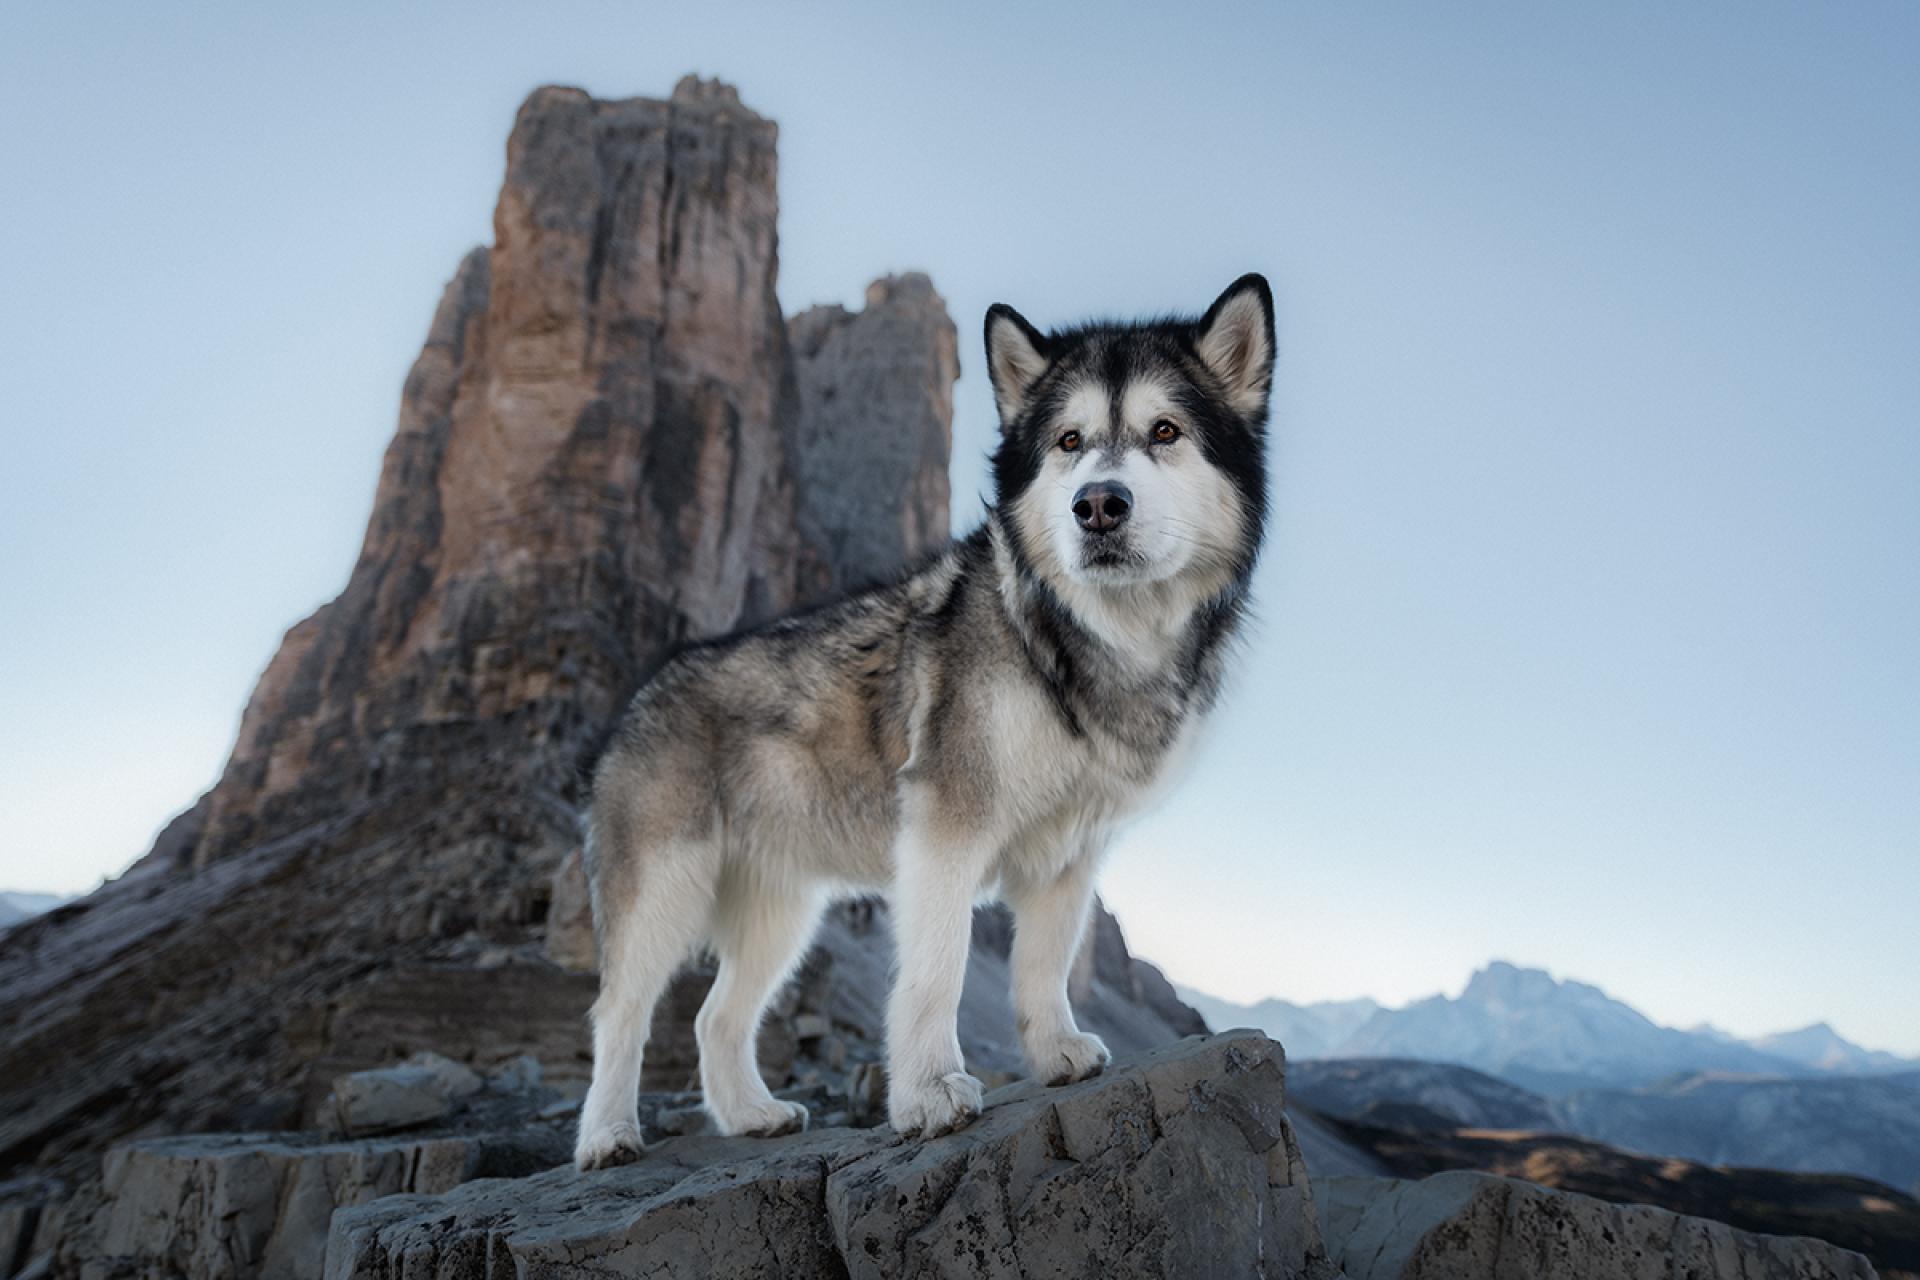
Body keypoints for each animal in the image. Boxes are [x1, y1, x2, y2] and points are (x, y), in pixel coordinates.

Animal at [568, 272, 1274, 1174]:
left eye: (1165, 432)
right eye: (1069, 441)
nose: (1099, 505)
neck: (1073, 640)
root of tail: (640, 694)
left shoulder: (1069, 849)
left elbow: (1043, 964)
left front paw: (1056, 1053)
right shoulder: (946, 827)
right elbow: (936, 970)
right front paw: (929, 1095)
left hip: (778, 911)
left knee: (712, 1016)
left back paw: (751, 1115)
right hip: (663, 891)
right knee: (618, 1011)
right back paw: (606, 1136)